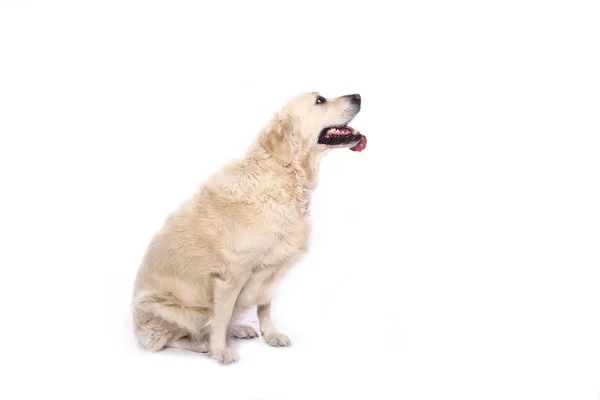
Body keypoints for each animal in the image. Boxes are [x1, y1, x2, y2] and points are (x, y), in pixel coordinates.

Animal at [131, 92, 366, 364]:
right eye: (320, 100)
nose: (358, 96)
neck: (284, 175)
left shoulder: (272, 267)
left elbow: (264, 306)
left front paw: (271, 334)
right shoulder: (231, 275)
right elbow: (220, 318)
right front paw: (220, 351)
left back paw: (238, 329)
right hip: (168, 308)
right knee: (167, 339)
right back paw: (203, 344)